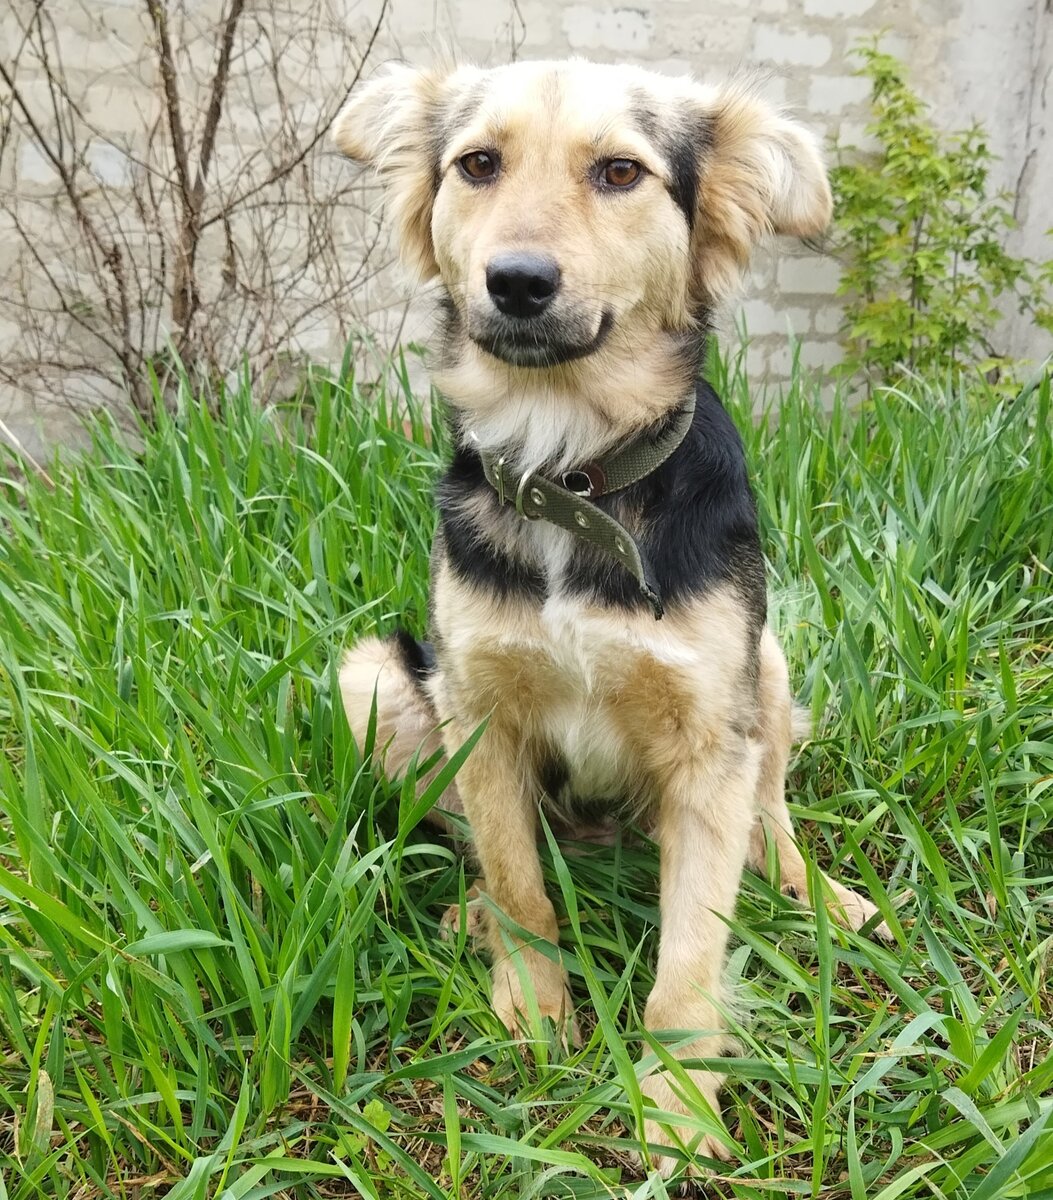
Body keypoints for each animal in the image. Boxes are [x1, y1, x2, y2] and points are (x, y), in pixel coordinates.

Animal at [333, 58, 889, 1177]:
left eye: (620, 172)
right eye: (477, 165)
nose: (516, 281)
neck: (569, 474)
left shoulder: (710, 735)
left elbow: (691, 958)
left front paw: (678, 1109)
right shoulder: (479, 712)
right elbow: (518, 882)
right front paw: (533, 1011)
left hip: (767, 667)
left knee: (772, 815)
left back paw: (819, 894)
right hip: (377, 673)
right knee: (484, 840)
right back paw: (468, 914)